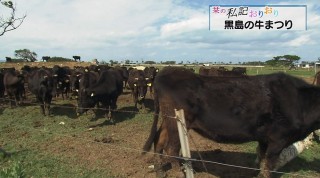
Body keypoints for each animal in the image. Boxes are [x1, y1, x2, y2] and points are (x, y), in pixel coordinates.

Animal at [144, 67, 320, 178]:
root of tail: (165, 71)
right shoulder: (278, 139)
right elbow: (269, 165)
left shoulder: (264, 138)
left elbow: (261, 158)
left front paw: (255, 173)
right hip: (178, 121)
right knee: (171, 148)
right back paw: (178, 173)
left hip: (169, 119)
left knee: (159, 141)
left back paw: (159, 171)